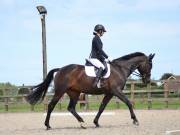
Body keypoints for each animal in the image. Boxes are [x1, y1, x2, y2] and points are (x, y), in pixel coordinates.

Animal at [26, 52, 155, 130]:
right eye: (150, 65)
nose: (147, 81)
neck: (120, 69)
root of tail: (60, 69)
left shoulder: (109, 93)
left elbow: (102, 107)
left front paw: (96, 122)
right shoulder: (116, 91)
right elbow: (128, 102)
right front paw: (135, 120)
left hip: (74, 93)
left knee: (71, 108)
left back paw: (82, 123)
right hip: (60, 91)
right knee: (51, 106)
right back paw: (48, 125)